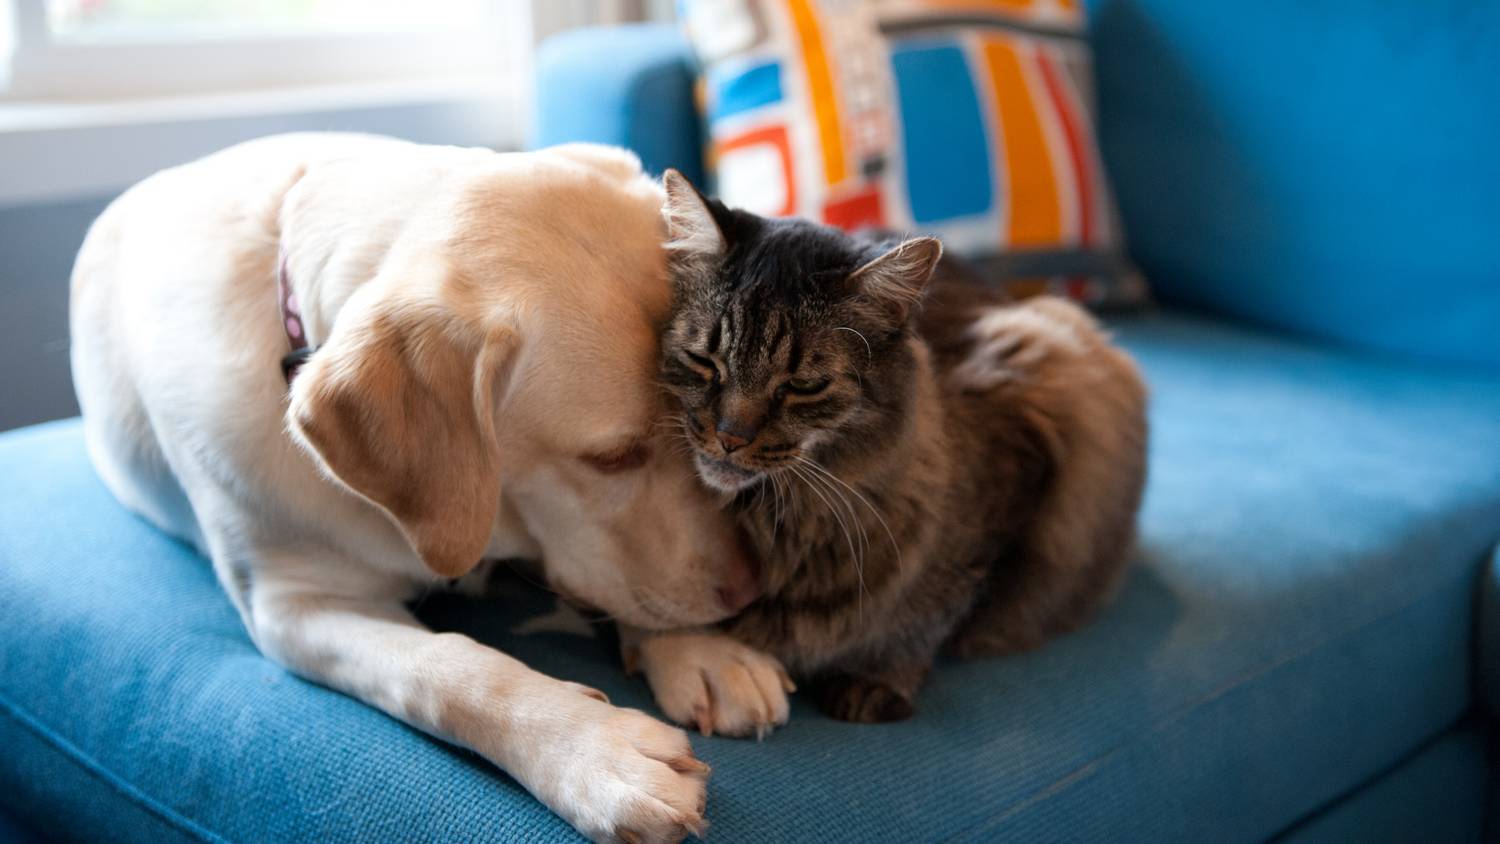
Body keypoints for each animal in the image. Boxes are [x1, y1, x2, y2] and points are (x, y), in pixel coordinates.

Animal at [67, 133, 762, 844]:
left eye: (698, 431)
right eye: (612, 457)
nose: (749, 592)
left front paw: (700, 652)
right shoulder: (292, 609)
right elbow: (449, 670)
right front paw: (594, 752)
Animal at [621, 168, 1146, 728]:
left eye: (803, 385)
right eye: (704, 361)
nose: (730, 437)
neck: (784, 523)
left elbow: (931, 612)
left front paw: (878, 678)